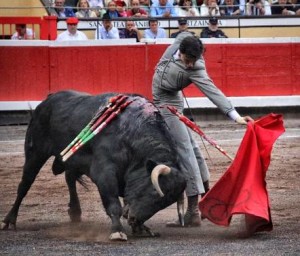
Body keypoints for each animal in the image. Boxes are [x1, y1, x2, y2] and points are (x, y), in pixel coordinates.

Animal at [1, 91, 186, 241]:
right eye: (154, 191)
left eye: (163, 204)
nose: (134, 219)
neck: (133, 134)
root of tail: (48, 99)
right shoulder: (105, 173)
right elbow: (114, 204)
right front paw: (117, 231)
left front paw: (142, 228)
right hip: (35, 153)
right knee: (25, 184)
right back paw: (10, 220)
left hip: (71, 160)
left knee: (69, 178)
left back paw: (75, 212)